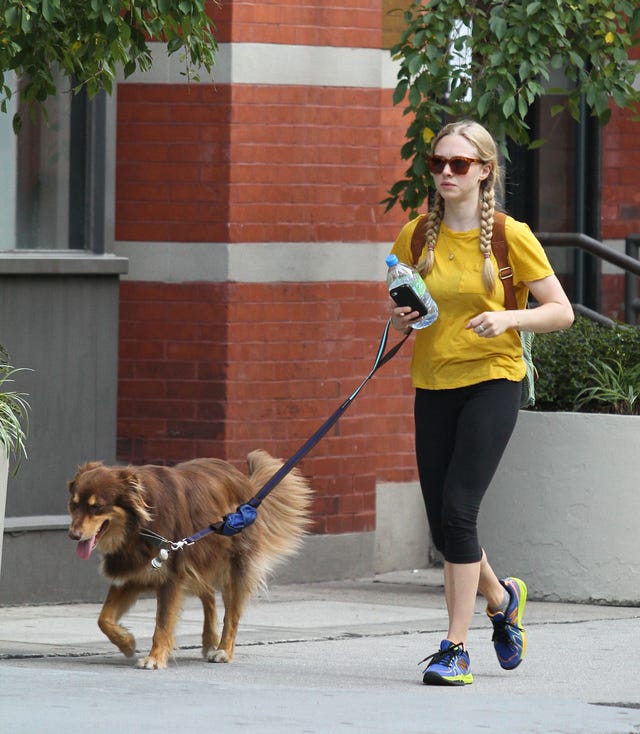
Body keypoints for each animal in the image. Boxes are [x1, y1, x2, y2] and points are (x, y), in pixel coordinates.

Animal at [68, 450, 312, 669]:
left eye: (97, 507)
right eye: (74, 504)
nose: (72, 535)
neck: (139, 527)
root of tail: (248, 486)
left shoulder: (170, 575)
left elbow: (163, 623)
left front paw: (154, 658)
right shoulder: (133, 571)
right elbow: (104, 619)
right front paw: (126, 642)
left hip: (233, 564)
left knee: (231, 613)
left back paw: (223, 650)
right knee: (209, 595)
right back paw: (210, 640)